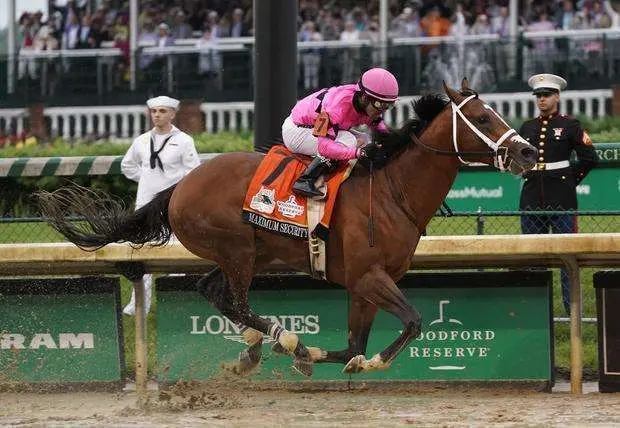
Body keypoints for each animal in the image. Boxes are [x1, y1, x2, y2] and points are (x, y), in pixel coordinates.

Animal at [37, 80, 536, 378]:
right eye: (485, 118)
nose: (528, 152)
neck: (392, 193)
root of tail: (180, 185)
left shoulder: (365, 282)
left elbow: (352, 345)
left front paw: (331, 358)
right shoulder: (370, 276)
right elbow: (411, 322)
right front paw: (363, 360)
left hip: (250, 253)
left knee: (213, 291)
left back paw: (258, 347)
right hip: (237, 250)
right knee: (236, 301)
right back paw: (281, 337)